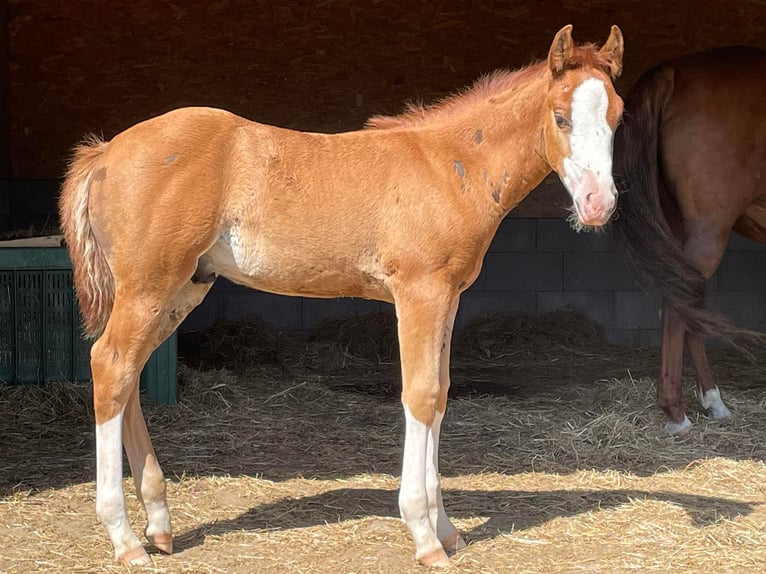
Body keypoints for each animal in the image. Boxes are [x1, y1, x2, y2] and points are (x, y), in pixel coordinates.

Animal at [58, 25, 624, 568]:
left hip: (181, 289)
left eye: (617, 116)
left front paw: (447, 529)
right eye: (560, 117)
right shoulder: (419, 292)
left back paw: (158, 524)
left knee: (128, 374)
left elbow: (441, 394)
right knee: (110, 365)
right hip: (148, 286)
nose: (598, 205)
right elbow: (420, 395)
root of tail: (105, 152)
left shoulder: (448, 298)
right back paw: (124, 538)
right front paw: (424, 536)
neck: (451, 165)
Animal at [612, 47, 766, 436]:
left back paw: (713, 401)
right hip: (708, 232)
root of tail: (672, 71)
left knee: (685, 297)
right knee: (678, 304)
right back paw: (676, 413)